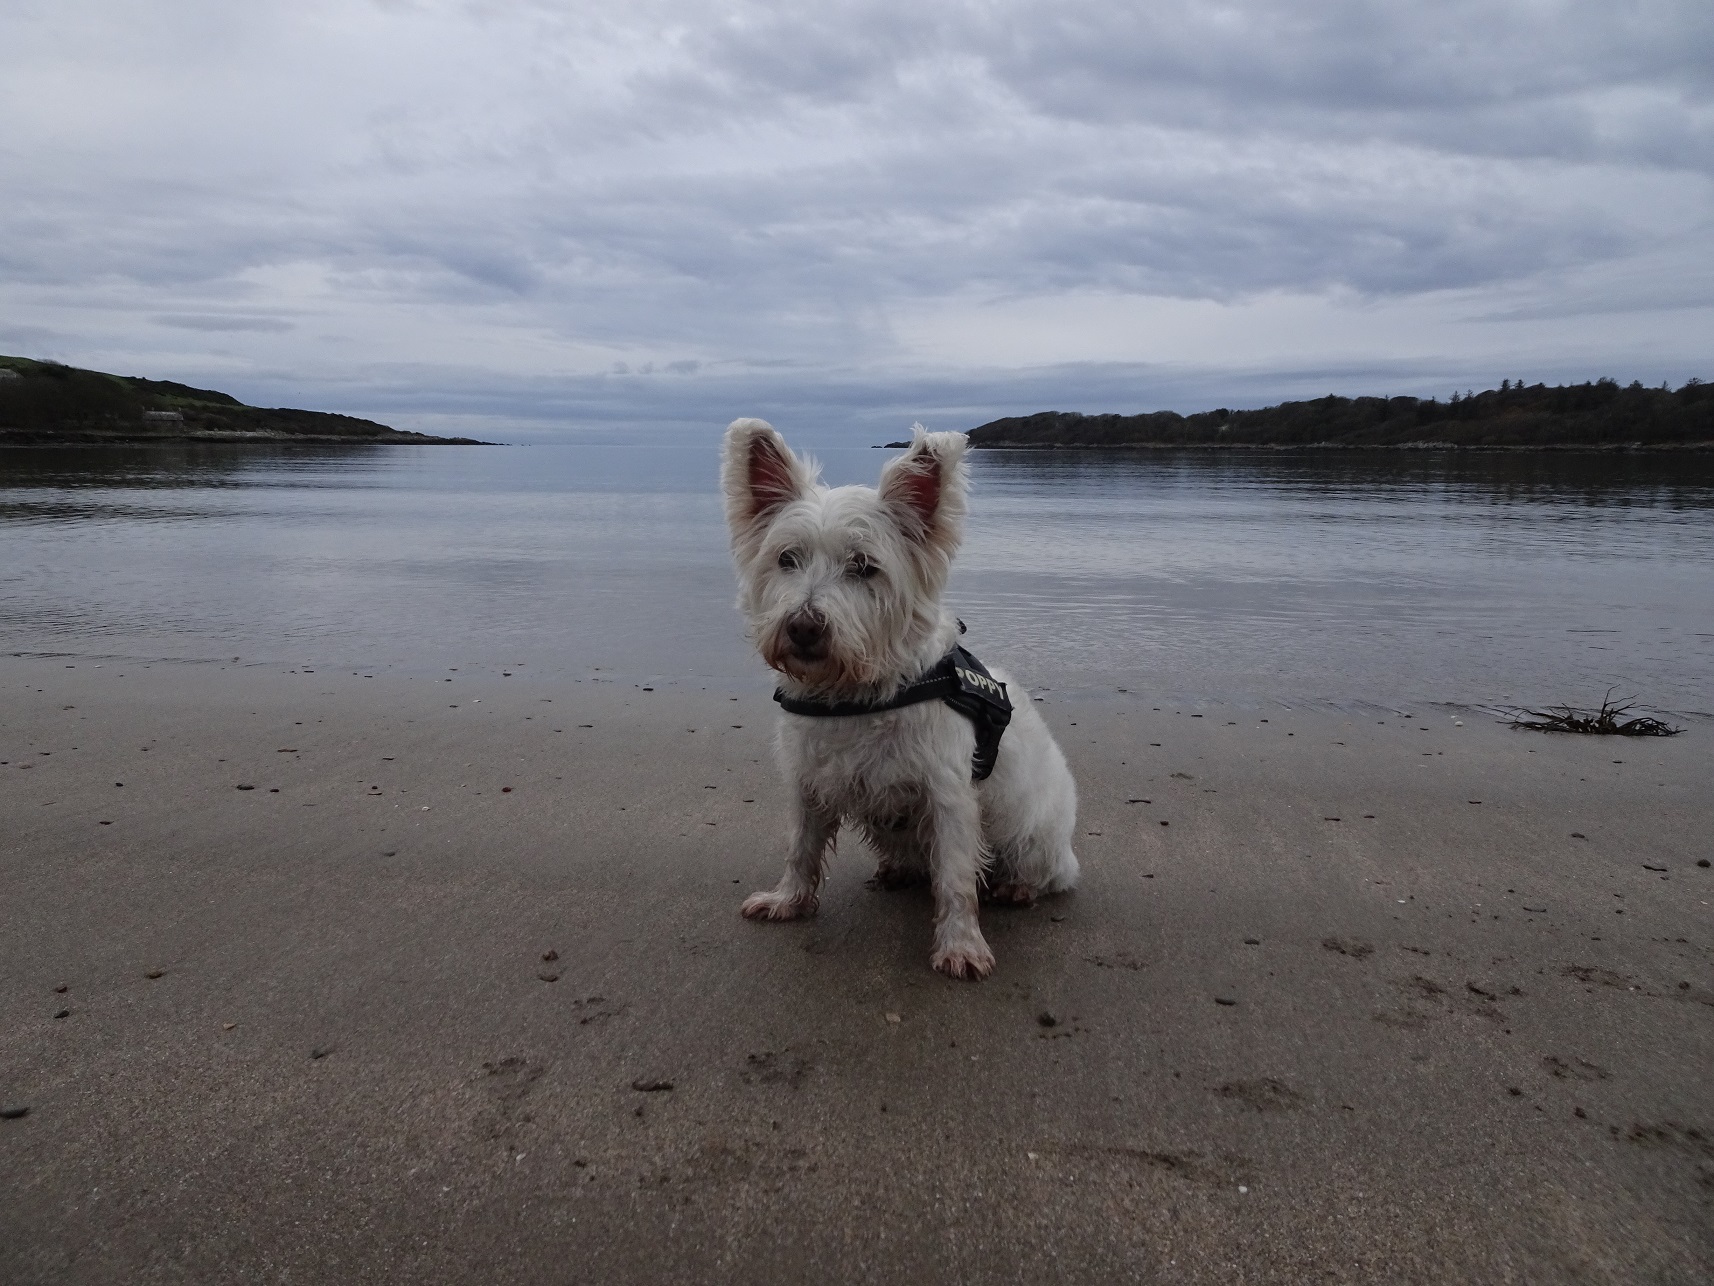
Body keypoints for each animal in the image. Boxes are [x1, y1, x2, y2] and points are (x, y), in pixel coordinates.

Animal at [726, 418, 1076, 980]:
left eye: (864, 567)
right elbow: (800, 847)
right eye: (786, 559)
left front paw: (961, 946)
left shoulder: (949, 797)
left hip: (1033, 836)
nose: (803, 627)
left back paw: (1016, 887)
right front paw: (788, 901)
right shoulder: (810, 783)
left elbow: (955, 879)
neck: (856, 693)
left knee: (1037, 873)